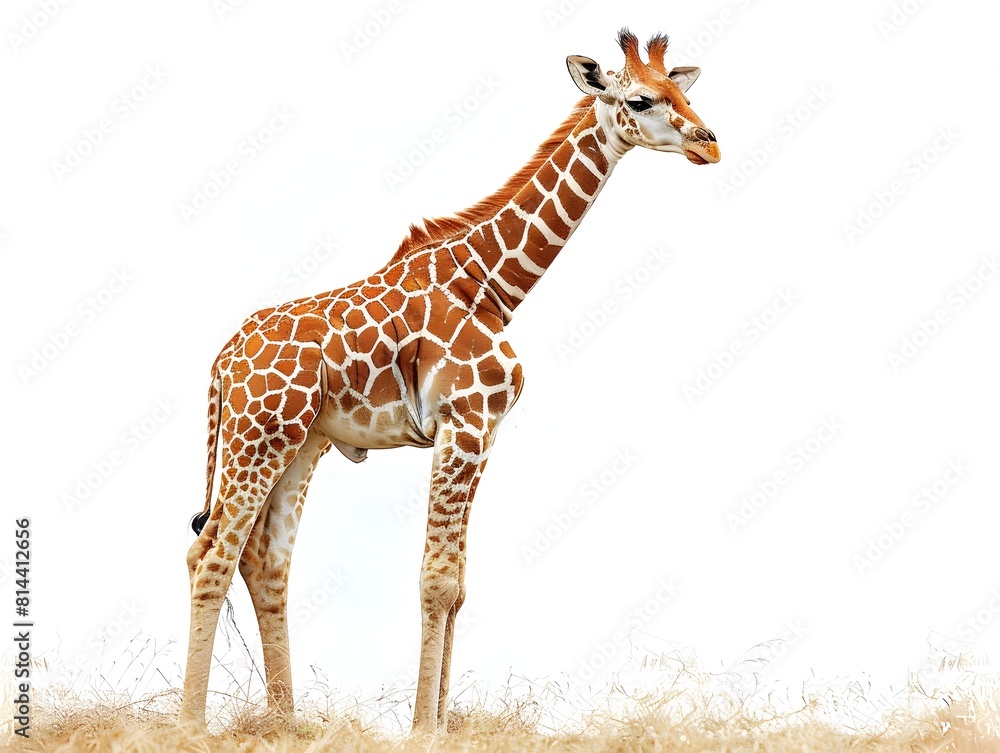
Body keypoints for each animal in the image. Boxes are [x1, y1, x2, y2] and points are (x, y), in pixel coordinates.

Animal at [180, 28, 720, 733]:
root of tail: (222, 362)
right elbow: (436, 581)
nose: (709, 142)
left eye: (684, 92)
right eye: (641, 99)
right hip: (257, 436)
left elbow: (458, 585)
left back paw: (286, 724)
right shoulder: (462, 423)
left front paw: (438, 721)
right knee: (211, 554)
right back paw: (190, 726)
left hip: (299, 444)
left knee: (264, 562)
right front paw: (423, 728)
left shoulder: (484, 434)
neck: (490, 284)